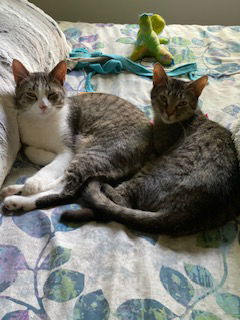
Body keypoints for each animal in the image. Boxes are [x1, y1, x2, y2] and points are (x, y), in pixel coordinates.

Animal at [0, 59, 152, 210]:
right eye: (31, 95)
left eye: (52, 95)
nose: (43, 106)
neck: (41, 122)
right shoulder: (28, 139)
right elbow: (31, 151)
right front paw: (46, 156)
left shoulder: (67, 148)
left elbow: (52, 167)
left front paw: (34, 183)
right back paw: (14, 190)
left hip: (99, 151)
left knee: (67, 189)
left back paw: (18, 200)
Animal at [58, 63, 240, 236]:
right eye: (164, 98)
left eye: (182, 103)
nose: (169, 112)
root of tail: (185, 213)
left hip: (149, 171)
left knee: (119, 200)